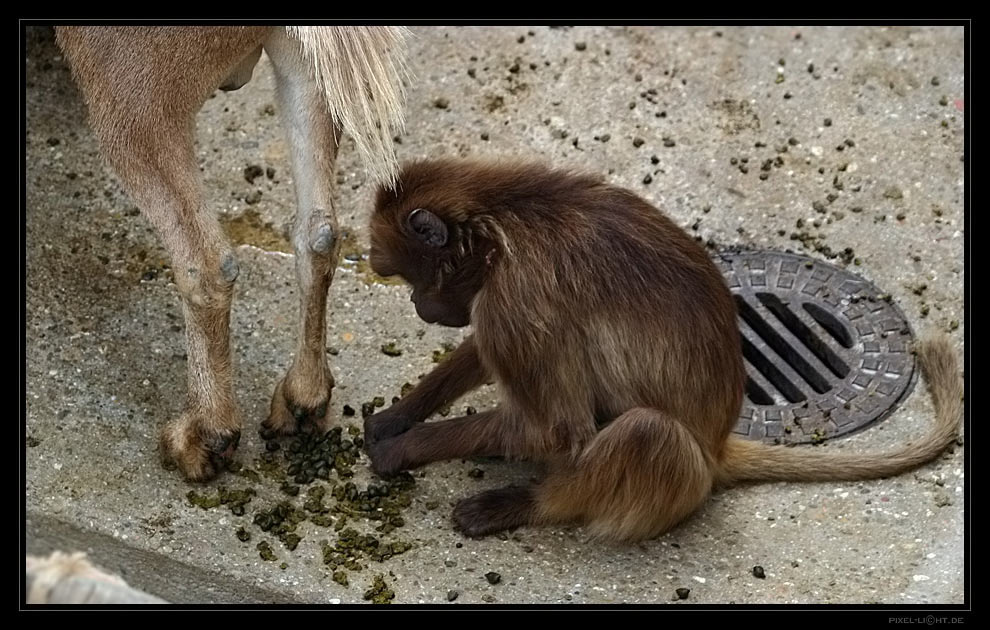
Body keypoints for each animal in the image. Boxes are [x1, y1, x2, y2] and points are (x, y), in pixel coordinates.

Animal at [360, 159, 964, 544]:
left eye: (411, 279)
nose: (417, 305)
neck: (505, 219)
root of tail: (717, 445)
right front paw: (398, 417)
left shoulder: (514, 298)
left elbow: (557, 429)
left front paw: (404, 448)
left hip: (680, 481)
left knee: (646, 431)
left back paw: (530, 500)